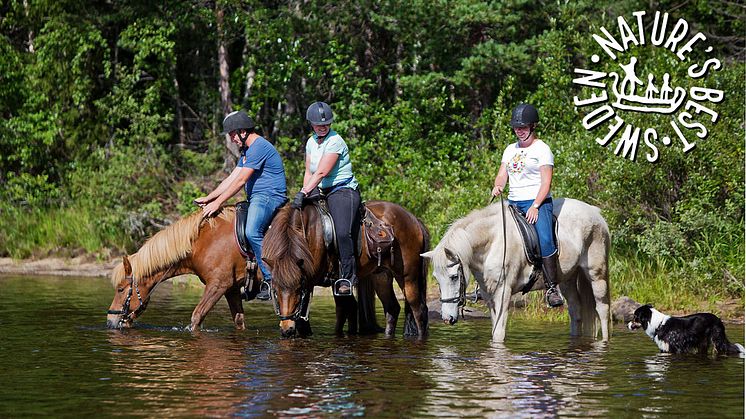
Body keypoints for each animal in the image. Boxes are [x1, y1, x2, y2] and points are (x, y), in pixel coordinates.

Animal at [106, 208, 260, 334]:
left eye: (120, 289)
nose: (109, 321)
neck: (202, 243)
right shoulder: (232, 289)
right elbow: (239, 321)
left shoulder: (218, 285)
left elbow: (197, 317)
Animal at [260, 199, 428, 340]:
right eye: (275, 290)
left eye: (298, 289)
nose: (286, 330)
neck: (307, 232)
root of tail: (414, 219)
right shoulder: (333, 282)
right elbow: (343, 312)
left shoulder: (309, 284)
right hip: (381, 276)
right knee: (392, 308)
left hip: (408, 277)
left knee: (418, 310)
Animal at [422, 199, 608, 342]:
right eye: (437, 279)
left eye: (454, 277)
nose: (447, 319)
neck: (492, 242)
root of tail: (595, 212)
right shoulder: (490, 297)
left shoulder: (503, 293)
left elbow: (498, 334)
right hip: (568, 277)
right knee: (576, 312)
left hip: (596, 274)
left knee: (602, 309)